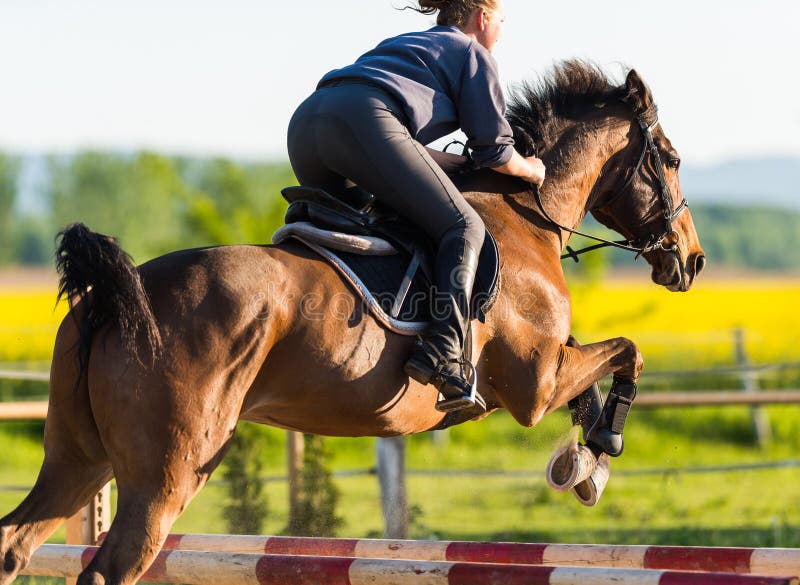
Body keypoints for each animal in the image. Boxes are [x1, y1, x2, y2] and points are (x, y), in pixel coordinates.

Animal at [0, 61, 704, 580]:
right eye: (669, 159)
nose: (692, 260)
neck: (528, 215)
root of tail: (114, 295)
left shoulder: (551, 369)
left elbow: (600, 372)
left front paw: (585, 462)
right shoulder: (533, 387)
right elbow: (628, 351)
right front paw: (601, 452)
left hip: (77, 460)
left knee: (15, 543)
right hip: (164, 477)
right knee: (108, 566)